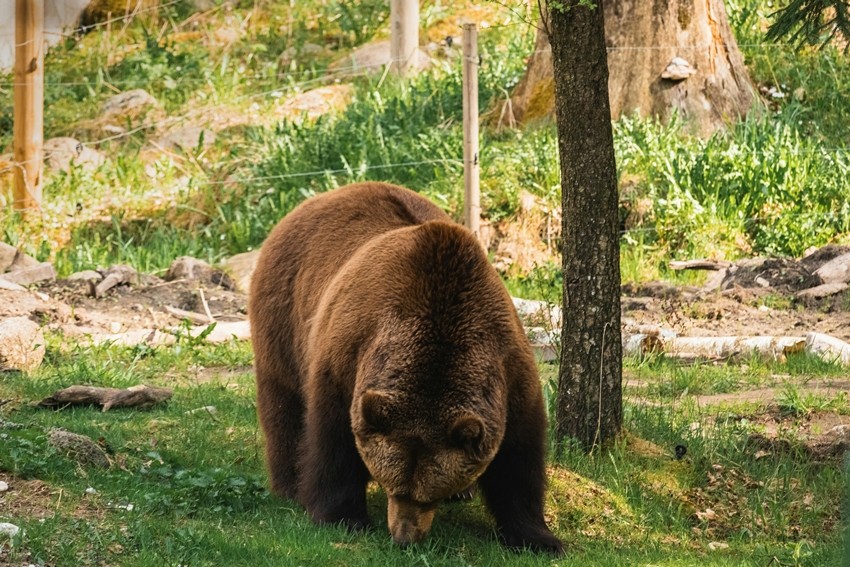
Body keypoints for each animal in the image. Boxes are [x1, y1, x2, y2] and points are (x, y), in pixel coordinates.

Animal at [249, 181, 563, 554]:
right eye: (395, 488)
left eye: (428, 496)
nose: (404, 537)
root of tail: (323, 197)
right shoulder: (347, 359)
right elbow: (332, 442)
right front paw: (341, 516)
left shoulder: (508, 371)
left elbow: (519, 462)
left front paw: (539, 537)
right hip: (286, 313)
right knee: (283, 403)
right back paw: (289, 483)